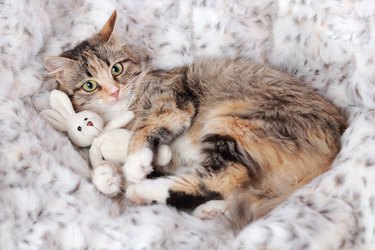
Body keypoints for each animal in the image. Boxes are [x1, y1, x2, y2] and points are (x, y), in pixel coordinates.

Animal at [44, 11, 346, 223]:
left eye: (116, 69)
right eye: (90, 85)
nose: (115, 92)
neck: (125, 110)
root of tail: (337, 136)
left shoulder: (173, 105)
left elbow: (141, 134)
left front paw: (133, 166)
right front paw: (108, 176)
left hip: (234, 124)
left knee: (222, 179)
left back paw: (144, 191)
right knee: (235, 188)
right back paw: (210, 209)